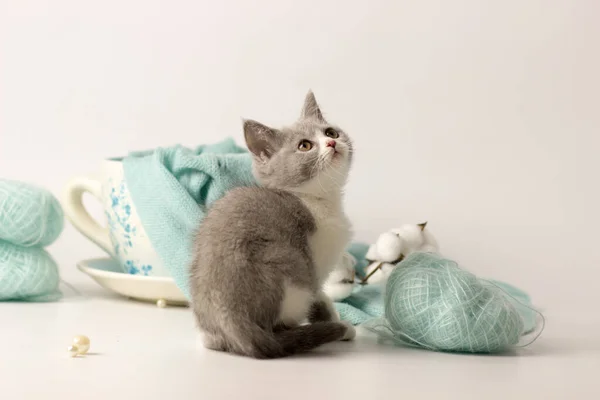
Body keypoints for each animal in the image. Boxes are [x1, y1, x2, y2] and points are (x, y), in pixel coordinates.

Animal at [190, 91, 354, 360]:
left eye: (330, 132)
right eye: (305, 146)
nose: (331, 143)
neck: (317, 199)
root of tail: (232, 319)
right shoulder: (315, 264)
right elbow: (321, 298)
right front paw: (340, 325)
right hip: (290, 265)